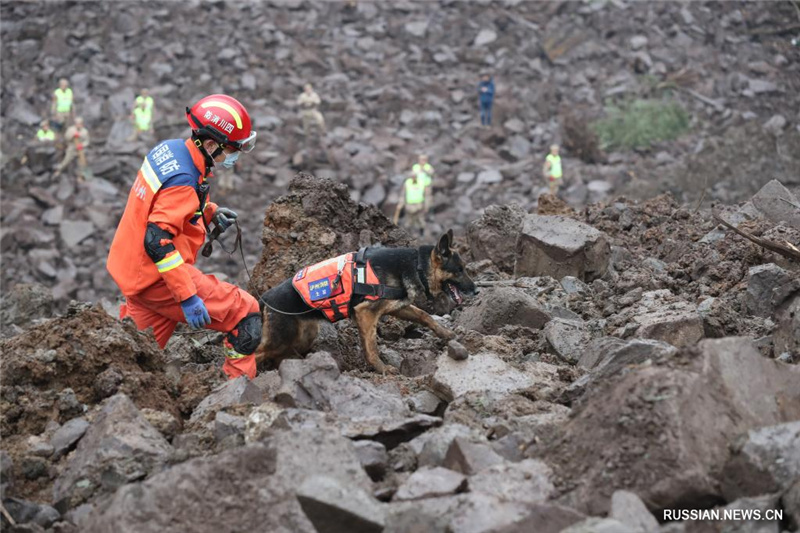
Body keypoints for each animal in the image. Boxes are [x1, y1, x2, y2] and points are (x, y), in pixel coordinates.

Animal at [253, 231, 476, 372]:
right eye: (459, 270)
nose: (476, 290)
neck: (416, 265)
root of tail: (263, 299)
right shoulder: (365, 313)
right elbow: (371, 347)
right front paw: (382, 369)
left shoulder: (397, 307)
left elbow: (424, 316)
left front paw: (445, 333)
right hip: (281, 339)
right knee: (253, 355)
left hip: (303, 336)